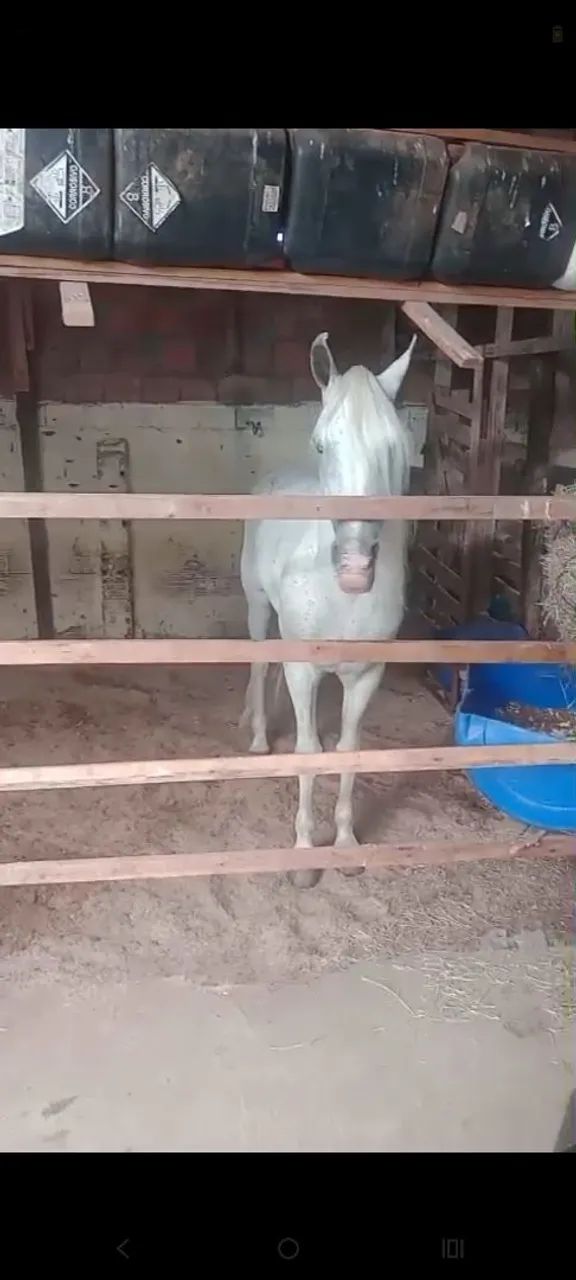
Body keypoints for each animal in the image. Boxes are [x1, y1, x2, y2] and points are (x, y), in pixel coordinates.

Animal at [240, 330, 416, 888]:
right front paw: (303, 855)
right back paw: (258, 740)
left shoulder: (366, 676)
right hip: (257, 609)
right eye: (323, 444)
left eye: (395, 446)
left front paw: (344, 844)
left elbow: (346, 752)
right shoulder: (304, 671)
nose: (355, 569)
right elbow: (309, 753)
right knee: (260, 666)